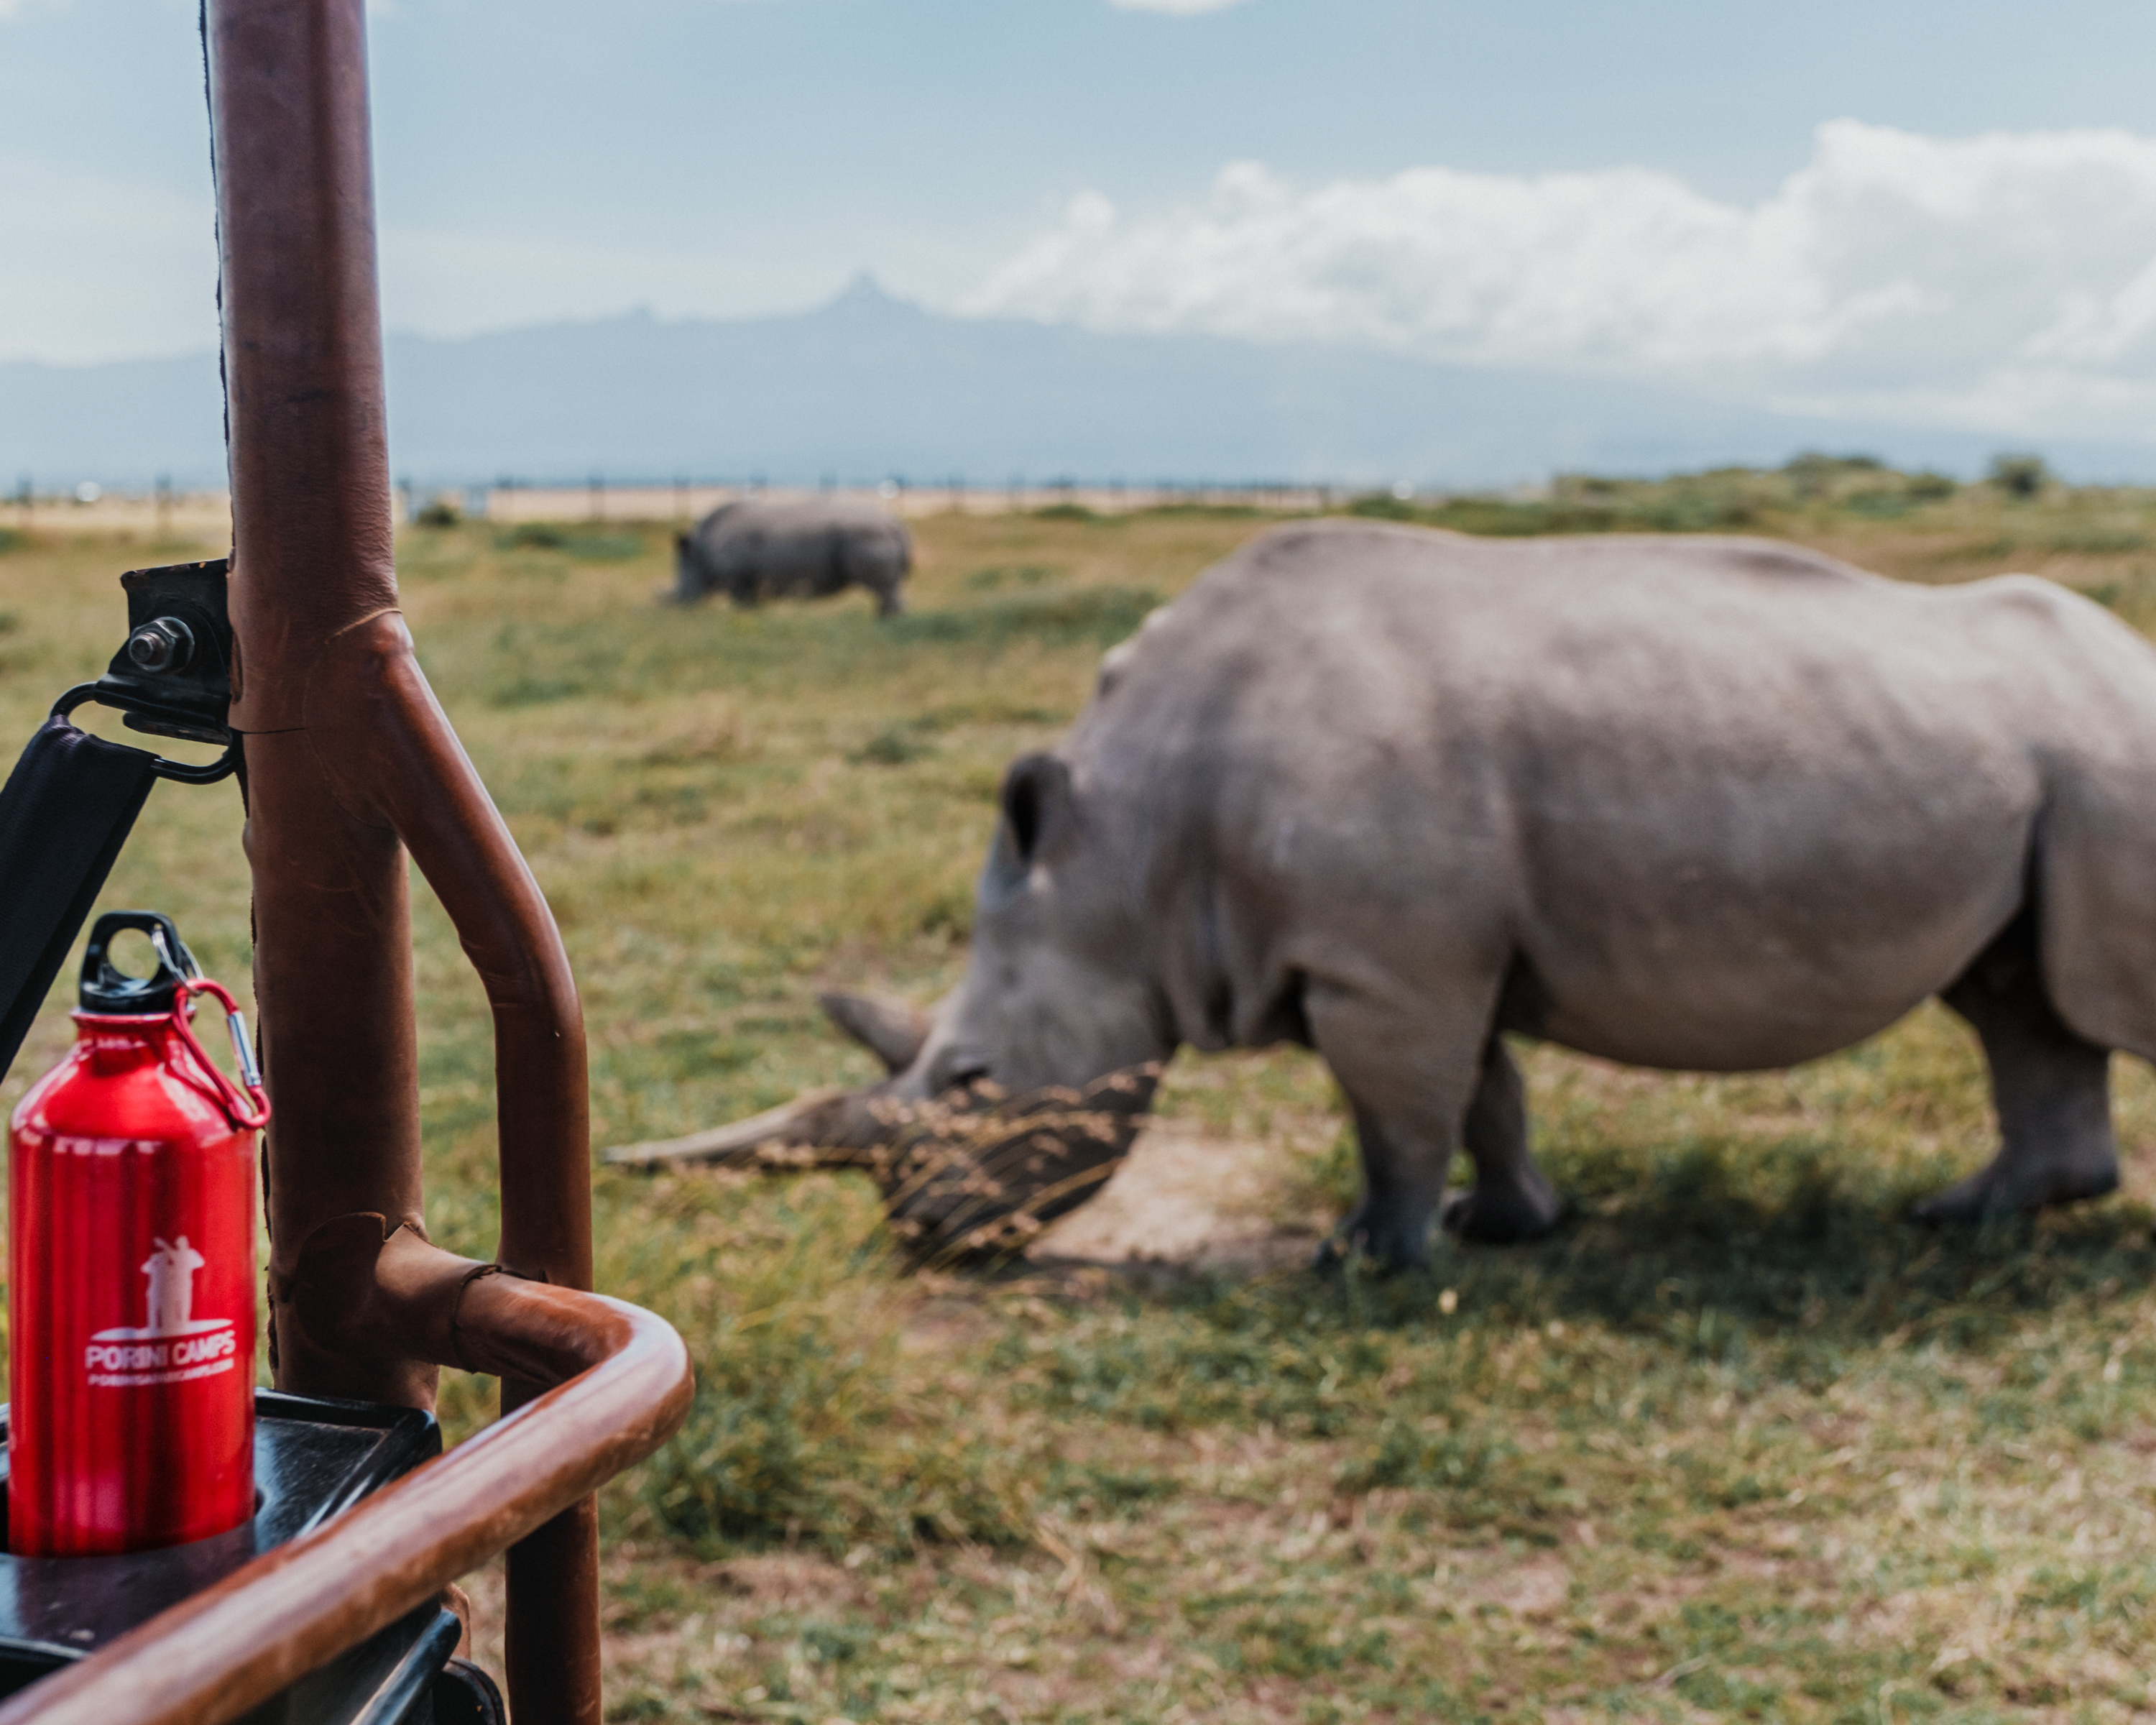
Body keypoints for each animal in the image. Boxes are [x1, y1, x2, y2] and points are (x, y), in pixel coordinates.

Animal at [616, 520, 2156, 1268]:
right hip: (2043, 784)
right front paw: (1508, 1228)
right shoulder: (1425, 955)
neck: (1123, 859)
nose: (922, 1239)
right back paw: (1971, 1219)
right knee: (2018, 1001)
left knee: (2077, 1006)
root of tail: (2129, 658)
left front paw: (1365, 1260)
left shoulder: (1382, 965)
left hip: (2112, 762)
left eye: (975, 1080)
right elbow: (1485, 1093)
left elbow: (1399, 1116)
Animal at [674, 496, 910, 616]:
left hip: (868, 536)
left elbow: (742, 602)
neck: (699, 553)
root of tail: (896, 526)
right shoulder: (746, 578)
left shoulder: (736, 577)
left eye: (681, 588)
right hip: (873, 536)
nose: (677, 609)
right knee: (887, 588)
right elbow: (751, 603)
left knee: (883, 588)